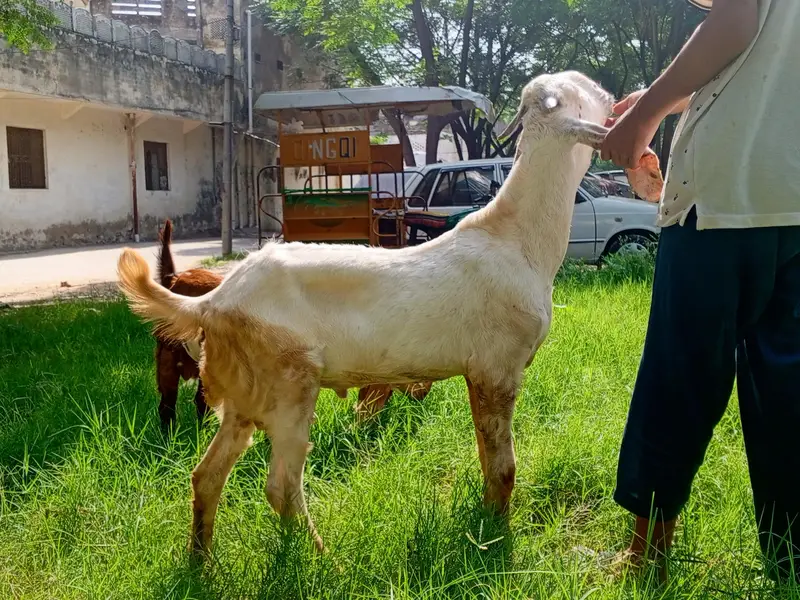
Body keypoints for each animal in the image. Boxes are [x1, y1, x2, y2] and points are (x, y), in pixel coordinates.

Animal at [117, 71, 613, 559]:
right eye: (580, 91)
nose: (610, 96)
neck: (514, 237)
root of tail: (212, 300)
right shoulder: (497, 367)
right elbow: (503, 467)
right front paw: (496, 536)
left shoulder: (480, 373)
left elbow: (488, 460)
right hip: (289, 382)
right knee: (280, 486)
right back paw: (322, 559)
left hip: (244, 394)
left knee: (207, 476)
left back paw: (202, 562)